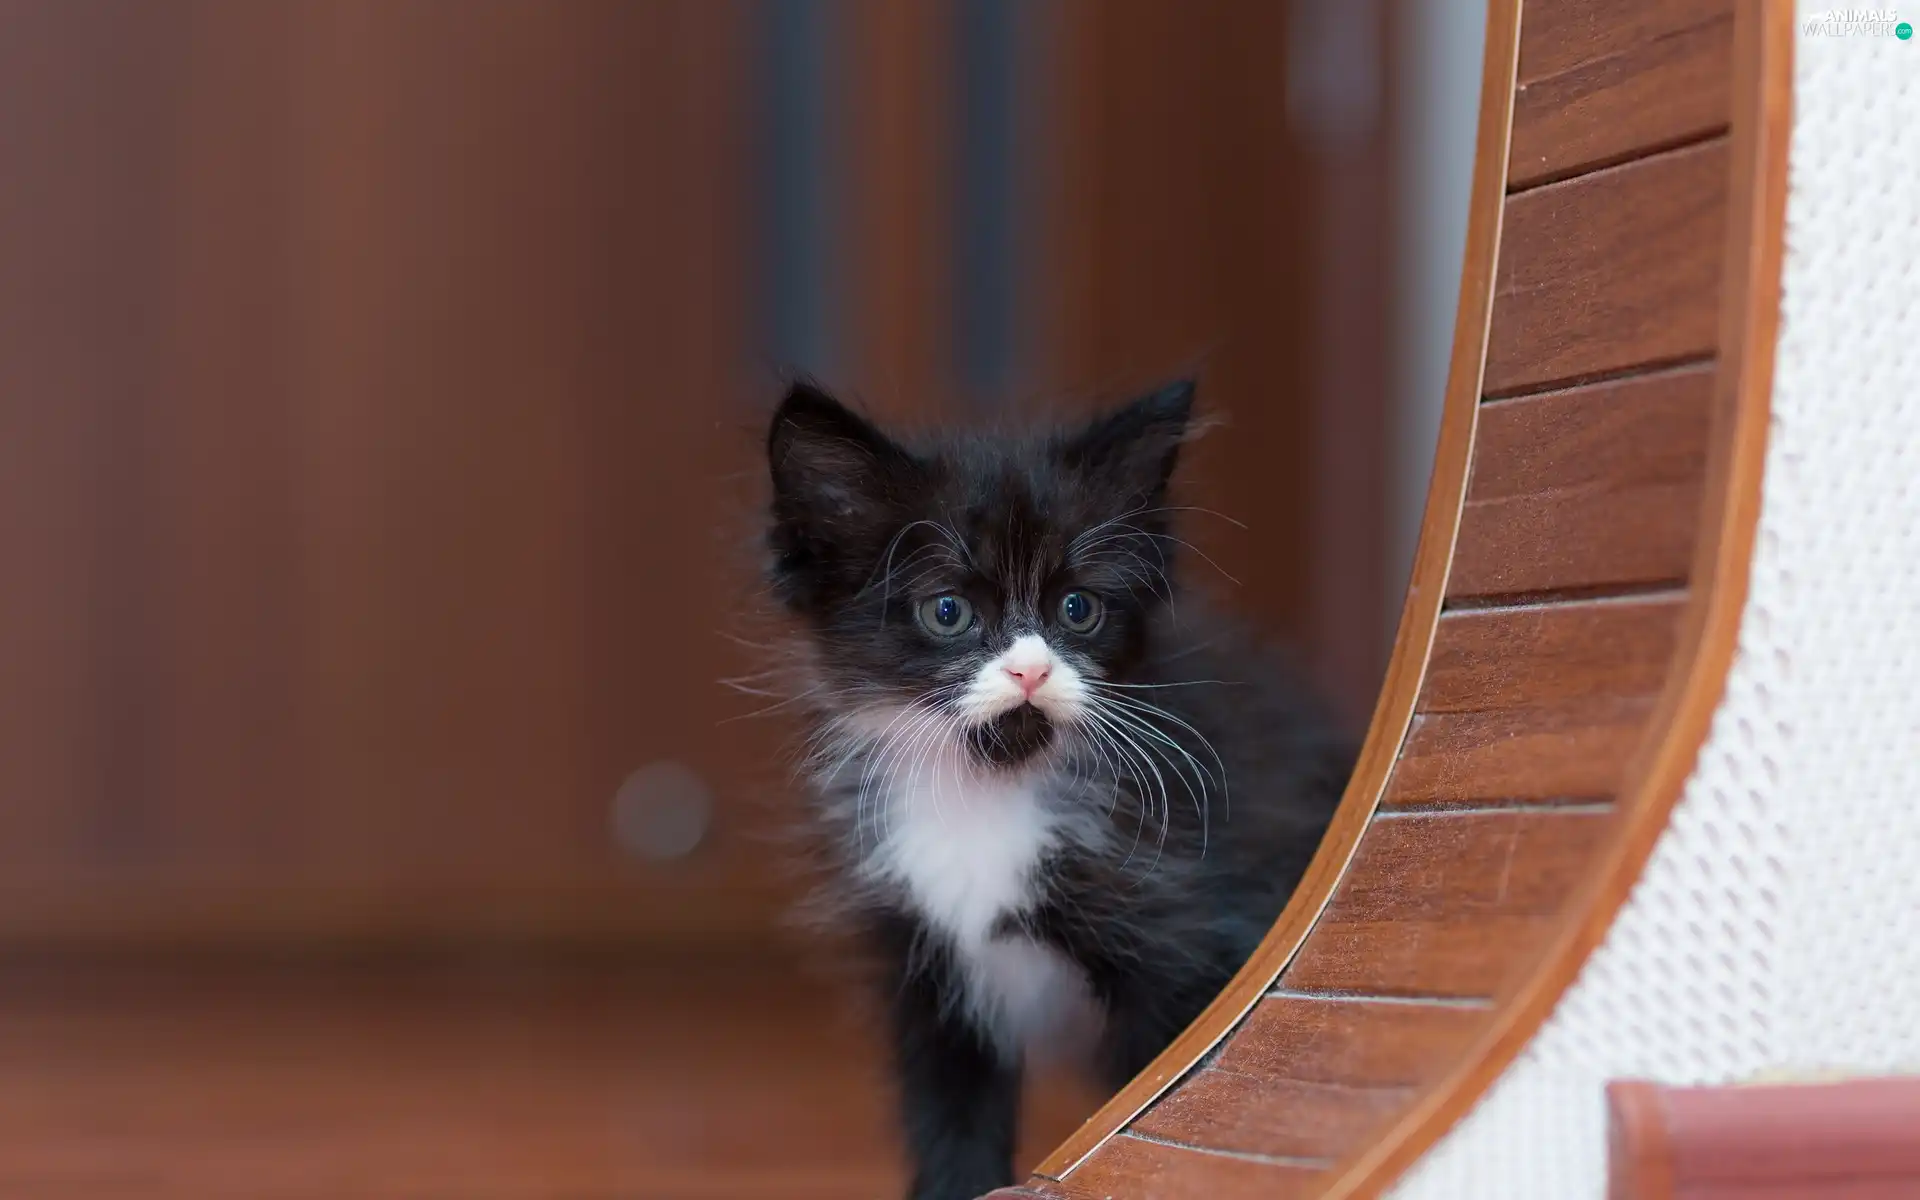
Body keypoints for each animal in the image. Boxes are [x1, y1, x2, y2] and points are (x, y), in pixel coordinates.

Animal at [760, 378, 1351, 1190]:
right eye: (948, 611)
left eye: (1078, 608)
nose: (1030, 669)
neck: (988, 793)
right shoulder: (925, 972)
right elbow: (951, 1117)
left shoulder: (1182, 941)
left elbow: (1165, 1098)